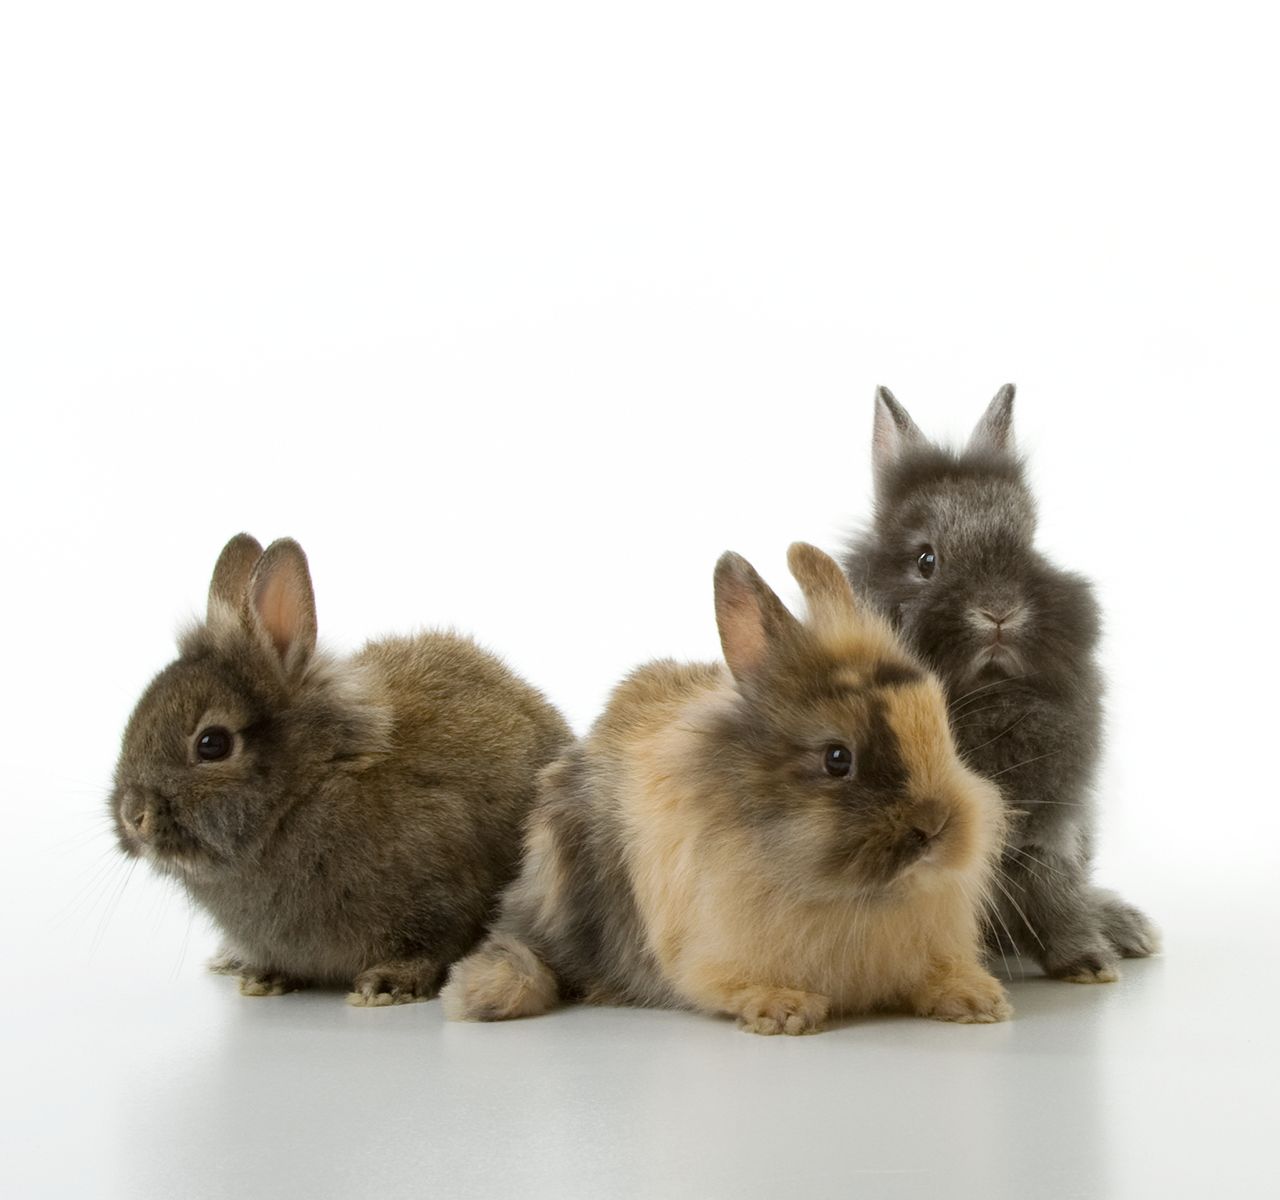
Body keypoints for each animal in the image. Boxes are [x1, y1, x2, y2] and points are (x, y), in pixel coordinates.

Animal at [110, 532, 570, 1002]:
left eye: (212, 744)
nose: (133, 817)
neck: (305, 790)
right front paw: (264, 978)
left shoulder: (447, 892)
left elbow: (431, 946)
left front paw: (386, 985)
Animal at [445, 542, 1013, 1028]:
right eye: (837, 759)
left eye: (942, 730)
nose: (936, 826)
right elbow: (728, 984)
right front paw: (784, 1009)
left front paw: (977, 1000)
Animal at [844, 388, 1157, 977]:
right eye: (926, 560)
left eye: (1028, 547)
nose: (999, 611)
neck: (986, 691)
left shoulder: (1049, 832)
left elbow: (1054, 895)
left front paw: (1087, 962)